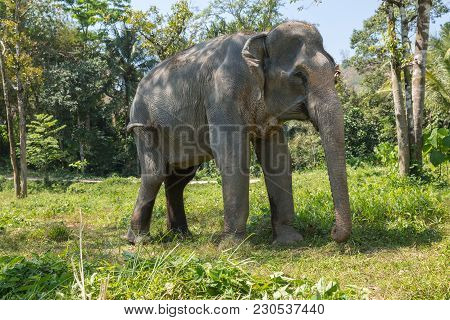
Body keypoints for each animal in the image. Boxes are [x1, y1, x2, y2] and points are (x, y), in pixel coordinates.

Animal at [125, 20, 352, 245]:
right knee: (154, 174)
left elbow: (277, 159)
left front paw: (289, 241)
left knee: (179, 179)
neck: (261, 36)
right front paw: (233, 246)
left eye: (335, 75)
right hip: (143, 125)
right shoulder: (223, 95)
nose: (332, 232)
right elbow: (233, 156)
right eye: (300, 75)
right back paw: (139, 240)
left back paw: (181, 235)